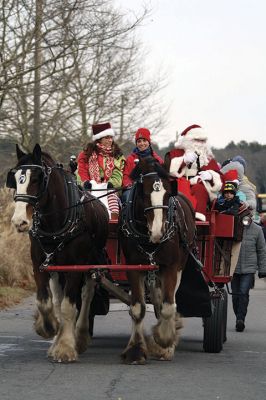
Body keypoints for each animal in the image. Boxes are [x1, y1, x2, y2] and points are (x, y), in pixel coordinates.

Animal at [7, 145, 109, 362]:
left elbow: (69, 306)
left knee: (86, 296)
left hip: (91, 264)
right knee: (58, 297)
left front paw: (65, 348)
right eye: (16, 177)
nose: (19, 221)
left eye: (37, 178)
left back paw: (80, 337)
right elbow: (46, 302)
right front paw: (49, 328)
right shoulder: (40, 263)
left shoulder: (76, 266)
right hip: (56, 268)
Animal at [120, 157, 195, 366]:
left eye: (168, 194)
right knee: (156, 300)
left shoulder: (170, 267)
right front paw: (136, 351)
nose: (157, 233)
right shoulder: (133, 267)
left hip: (177, 268)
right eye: (144, 194)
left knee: (167, 301)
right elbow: (138, 308)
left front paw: (164, 341)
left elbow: (168, 307)